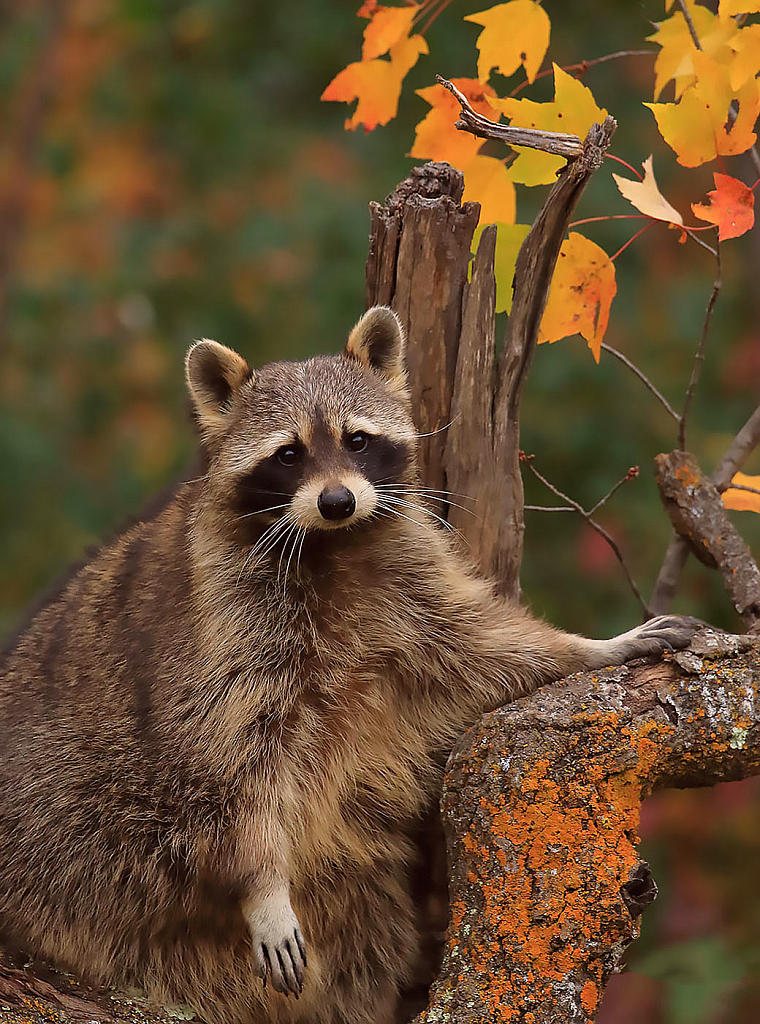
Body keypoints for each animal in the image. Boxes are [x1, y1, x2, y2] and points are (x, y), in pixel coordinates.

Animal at [0, 307, 700, 1024]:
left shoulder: (410, 583)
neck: (330, 544)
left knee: (366, 939)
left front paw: (593, 646)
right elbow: (230, 767)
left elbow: (482, 645)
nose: (337, 501)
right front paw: (264, 887)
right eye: (289, 453)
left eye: (357, 440)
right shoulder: (223, 631)